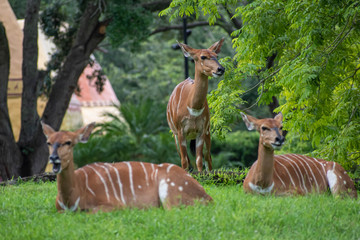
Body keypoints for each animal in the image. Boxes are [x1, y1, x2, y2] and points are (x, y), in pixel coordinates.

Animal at [41, 122, 212, 212]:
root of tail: (209, 199)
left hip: (169, 192)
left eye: (68, 142)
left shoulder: (114, 206)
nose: (54, 158)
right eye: (48, 142)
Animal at [167, 38, 225, 172]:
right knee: (187, 160)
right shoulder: (180, 131)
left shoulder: (202, 130)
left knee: (208, 158)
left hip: (207, 133)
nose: (220, 69)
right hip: (175, 135)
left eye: (216, 56)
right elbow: (184, 162)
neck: (193, 107)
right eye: (203, 56)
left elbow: (199, 160)